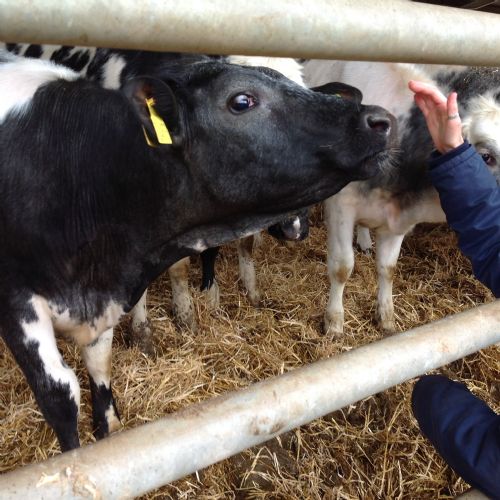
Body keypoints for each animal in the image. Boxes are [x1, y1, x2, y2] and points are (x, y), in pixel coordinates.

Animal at [1, 52, 396, 452]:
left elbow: (100, 362)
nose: (380, 119)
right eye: (242, 100)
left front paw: (109, 426)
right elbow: (60, 395)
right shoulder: (17, 303)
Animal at [302, 60, 500, 338]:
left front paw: (386, 318)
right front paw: (334, 322)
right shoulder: (341, 207)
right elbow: (342, 267)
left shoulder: (397, 221)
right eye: (486, 157)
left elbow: (388, 268)